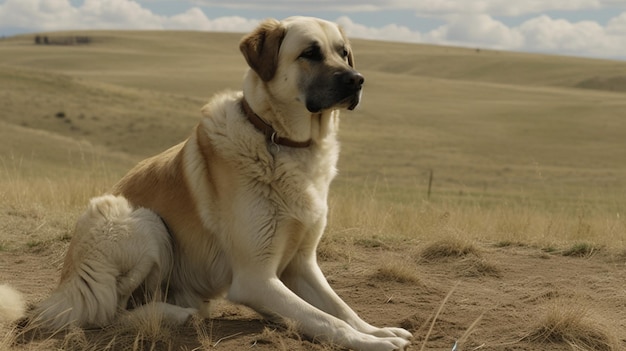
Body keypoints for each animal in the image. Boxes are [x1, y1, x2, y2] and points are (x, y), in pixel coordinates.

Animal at [14, 17, 412, 351]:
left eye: (343, 52)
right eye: (310, 53)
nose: (357, 80)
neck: (282, 141)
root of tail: (65, 283)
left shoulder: (301, 265)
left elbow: (341, 309)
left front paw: (377, 330)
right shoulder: (255, 280)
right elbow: (325, 319)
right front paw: (373, 343)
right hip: (141, 221)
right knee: (113, 311)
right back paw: (174, 314)